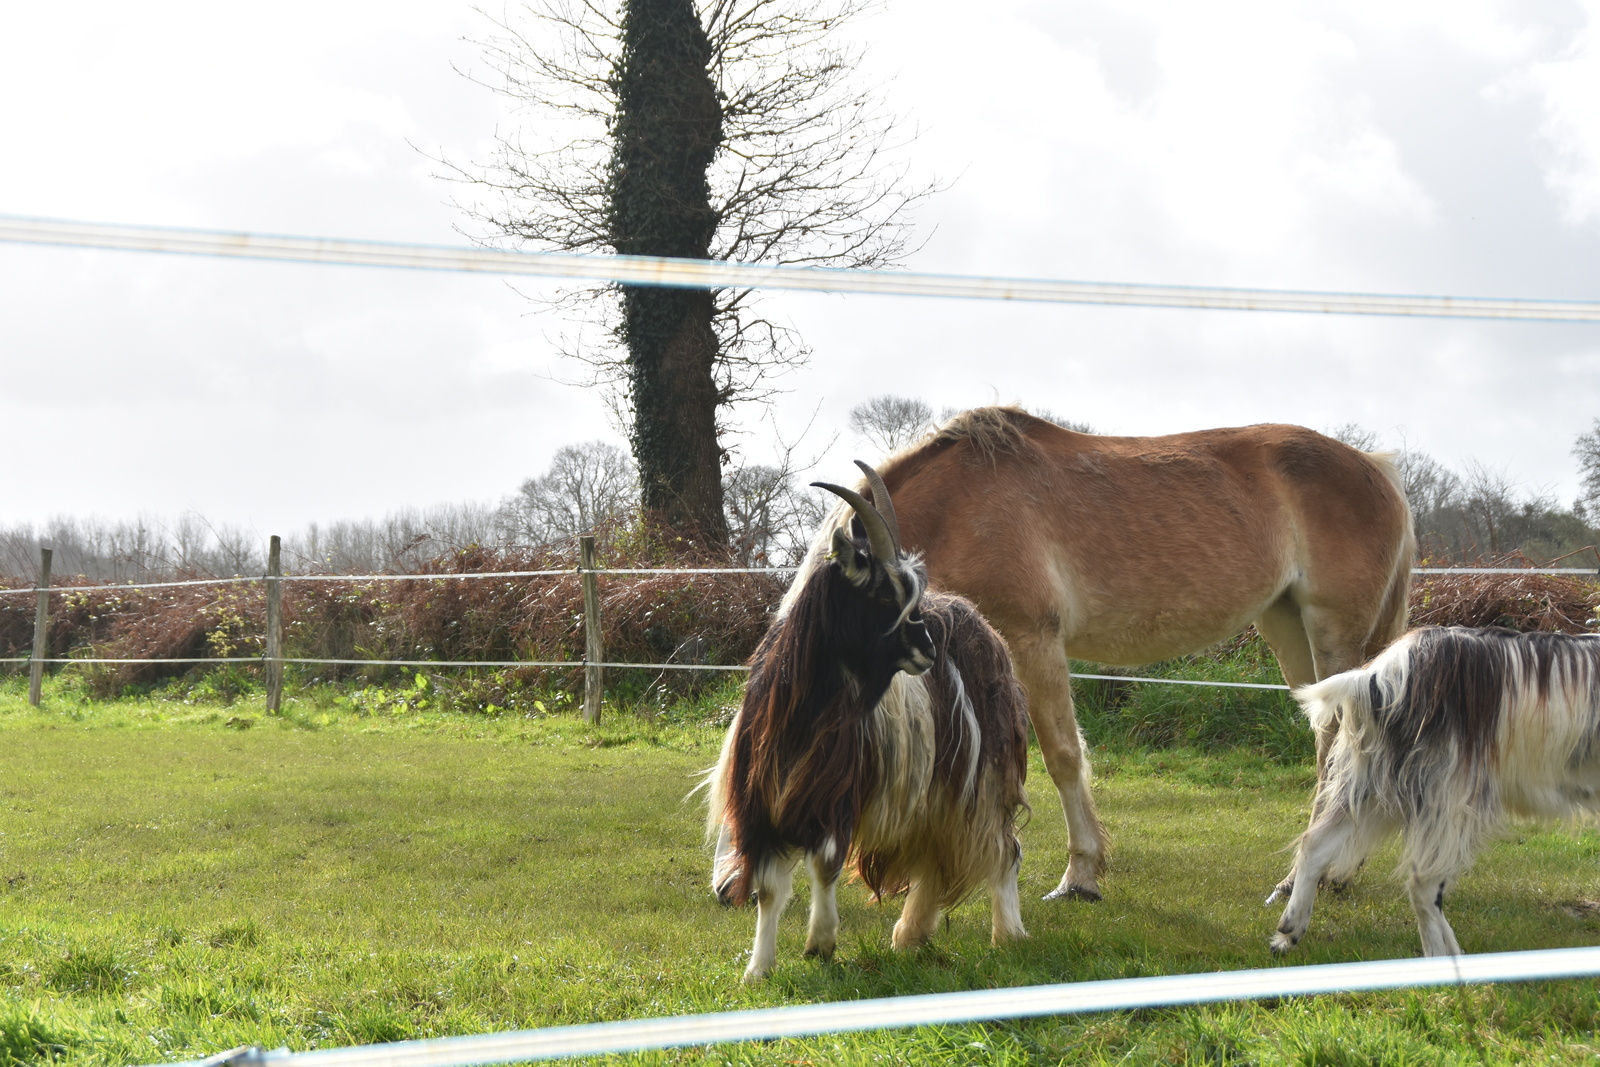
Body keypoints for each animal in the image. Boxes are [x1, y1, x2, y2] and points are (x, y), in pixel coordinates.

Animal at [704, 461, 1030, 982]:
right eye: (881, 590)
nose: (927, 648)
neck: (803, 719)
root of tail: (984, 629)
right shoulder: (764, 804)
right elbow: (770, 891)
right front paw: (759, 968)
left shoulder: (838, 794)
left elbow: (825, 864)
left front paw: (820, 942)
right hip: (932, 792)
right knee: (937, 856)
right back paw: (910, 934)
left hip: (982, 777)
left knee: (1003, 847)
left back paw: (1008, 934)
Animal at [1271, 626, 1600, 957]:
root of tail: (1381, 673)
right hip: (1446, 793)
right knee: (1423, 882)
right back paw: (1441, 957)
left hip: (1376, 789)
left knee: (1315, 843)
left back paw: (1289, 929)